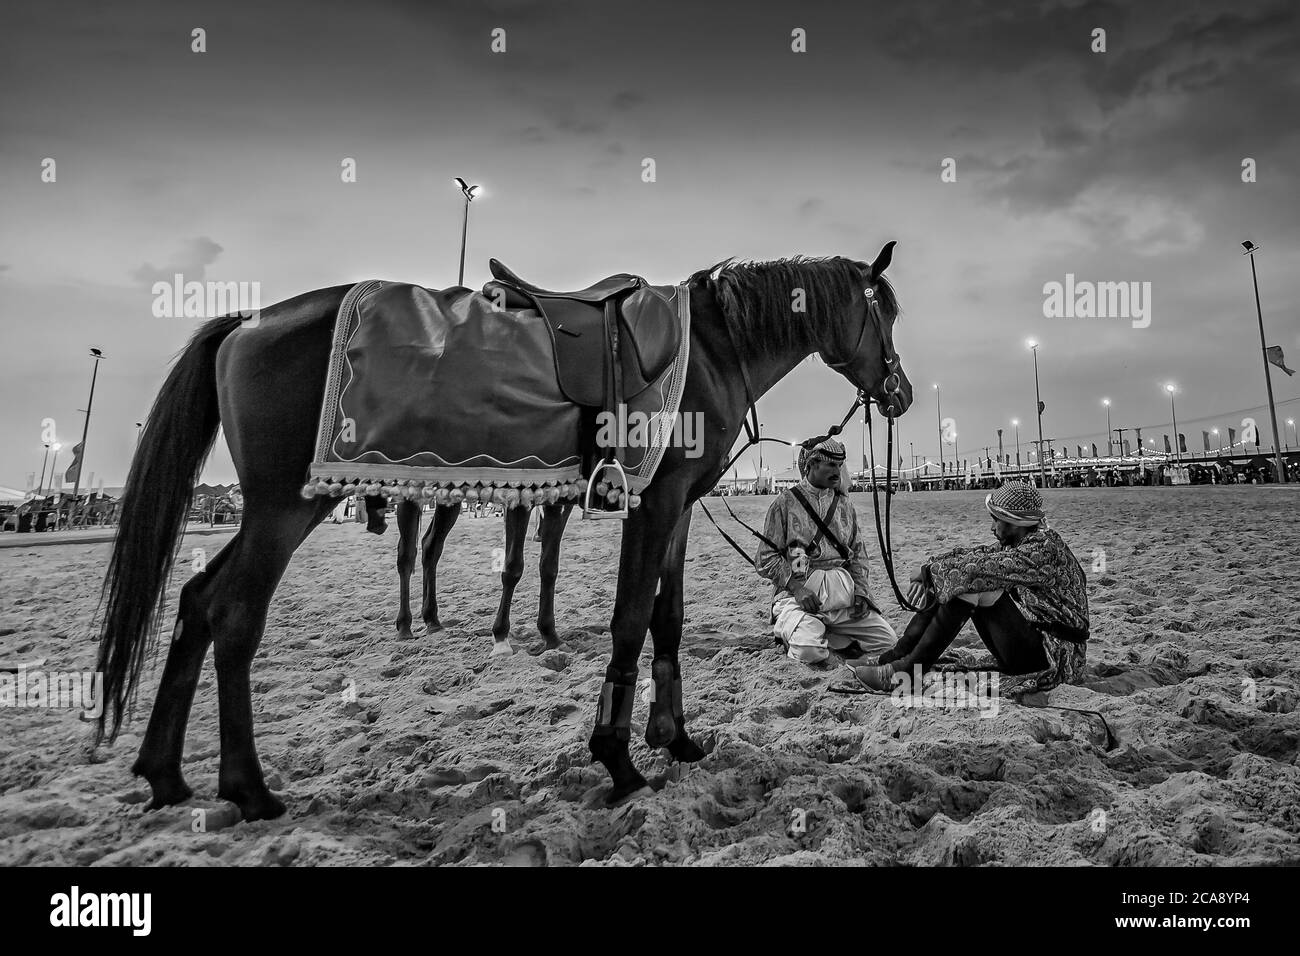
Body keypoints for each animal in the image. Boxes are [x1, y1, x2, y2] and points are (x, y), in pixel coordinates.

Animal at [367, 494, 574, 654]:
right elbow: (513, 568)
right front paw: (501, 636)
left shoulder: (560, 503)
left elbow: (549, 567)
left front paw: (550, 635)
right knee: (406, 555)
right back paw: (404, 625)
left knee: (430, 547)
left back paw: (431, 619)